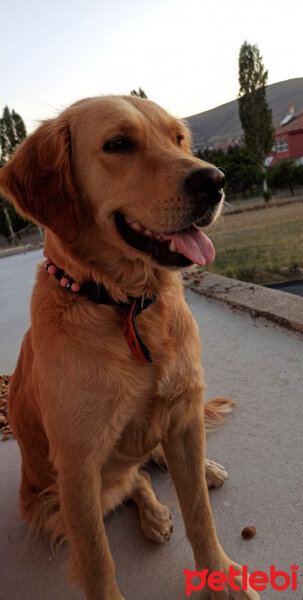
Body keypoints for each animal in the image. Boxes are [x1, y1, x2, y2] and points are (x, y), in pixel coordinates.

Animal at [0, 96, 262, 596]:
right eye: (118, 144)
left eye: (178, 138)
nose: (215, 180)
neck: (128, 306)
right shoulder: (78, 468)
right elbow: (98, 562)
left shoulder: (182, 412)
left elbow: (201, 516)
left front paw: (221, 577)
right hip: (55, 500)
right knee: (132, 480)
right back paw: (156, 514)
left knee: (148, 466)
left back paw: (200, 473)